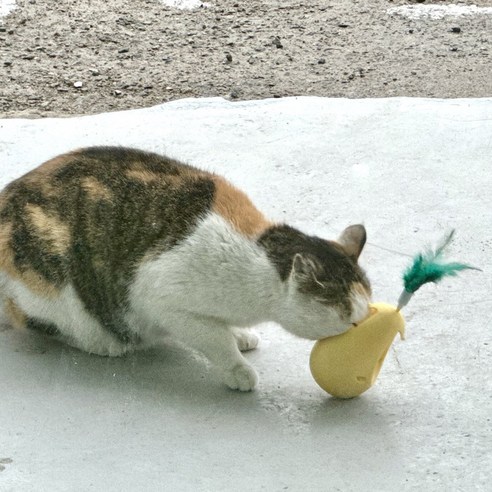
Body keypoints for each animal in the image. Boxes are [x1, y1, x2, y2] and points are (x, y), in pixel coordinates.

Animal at [0, 144, 368, 390]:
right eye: (351, 320)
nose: (363, 326)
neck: (261, 253)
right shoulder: (160, 299)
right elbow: (214, 338)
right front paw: (238, 369)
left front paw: (241, 335)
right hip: (51, 288)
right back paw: (105, 344)